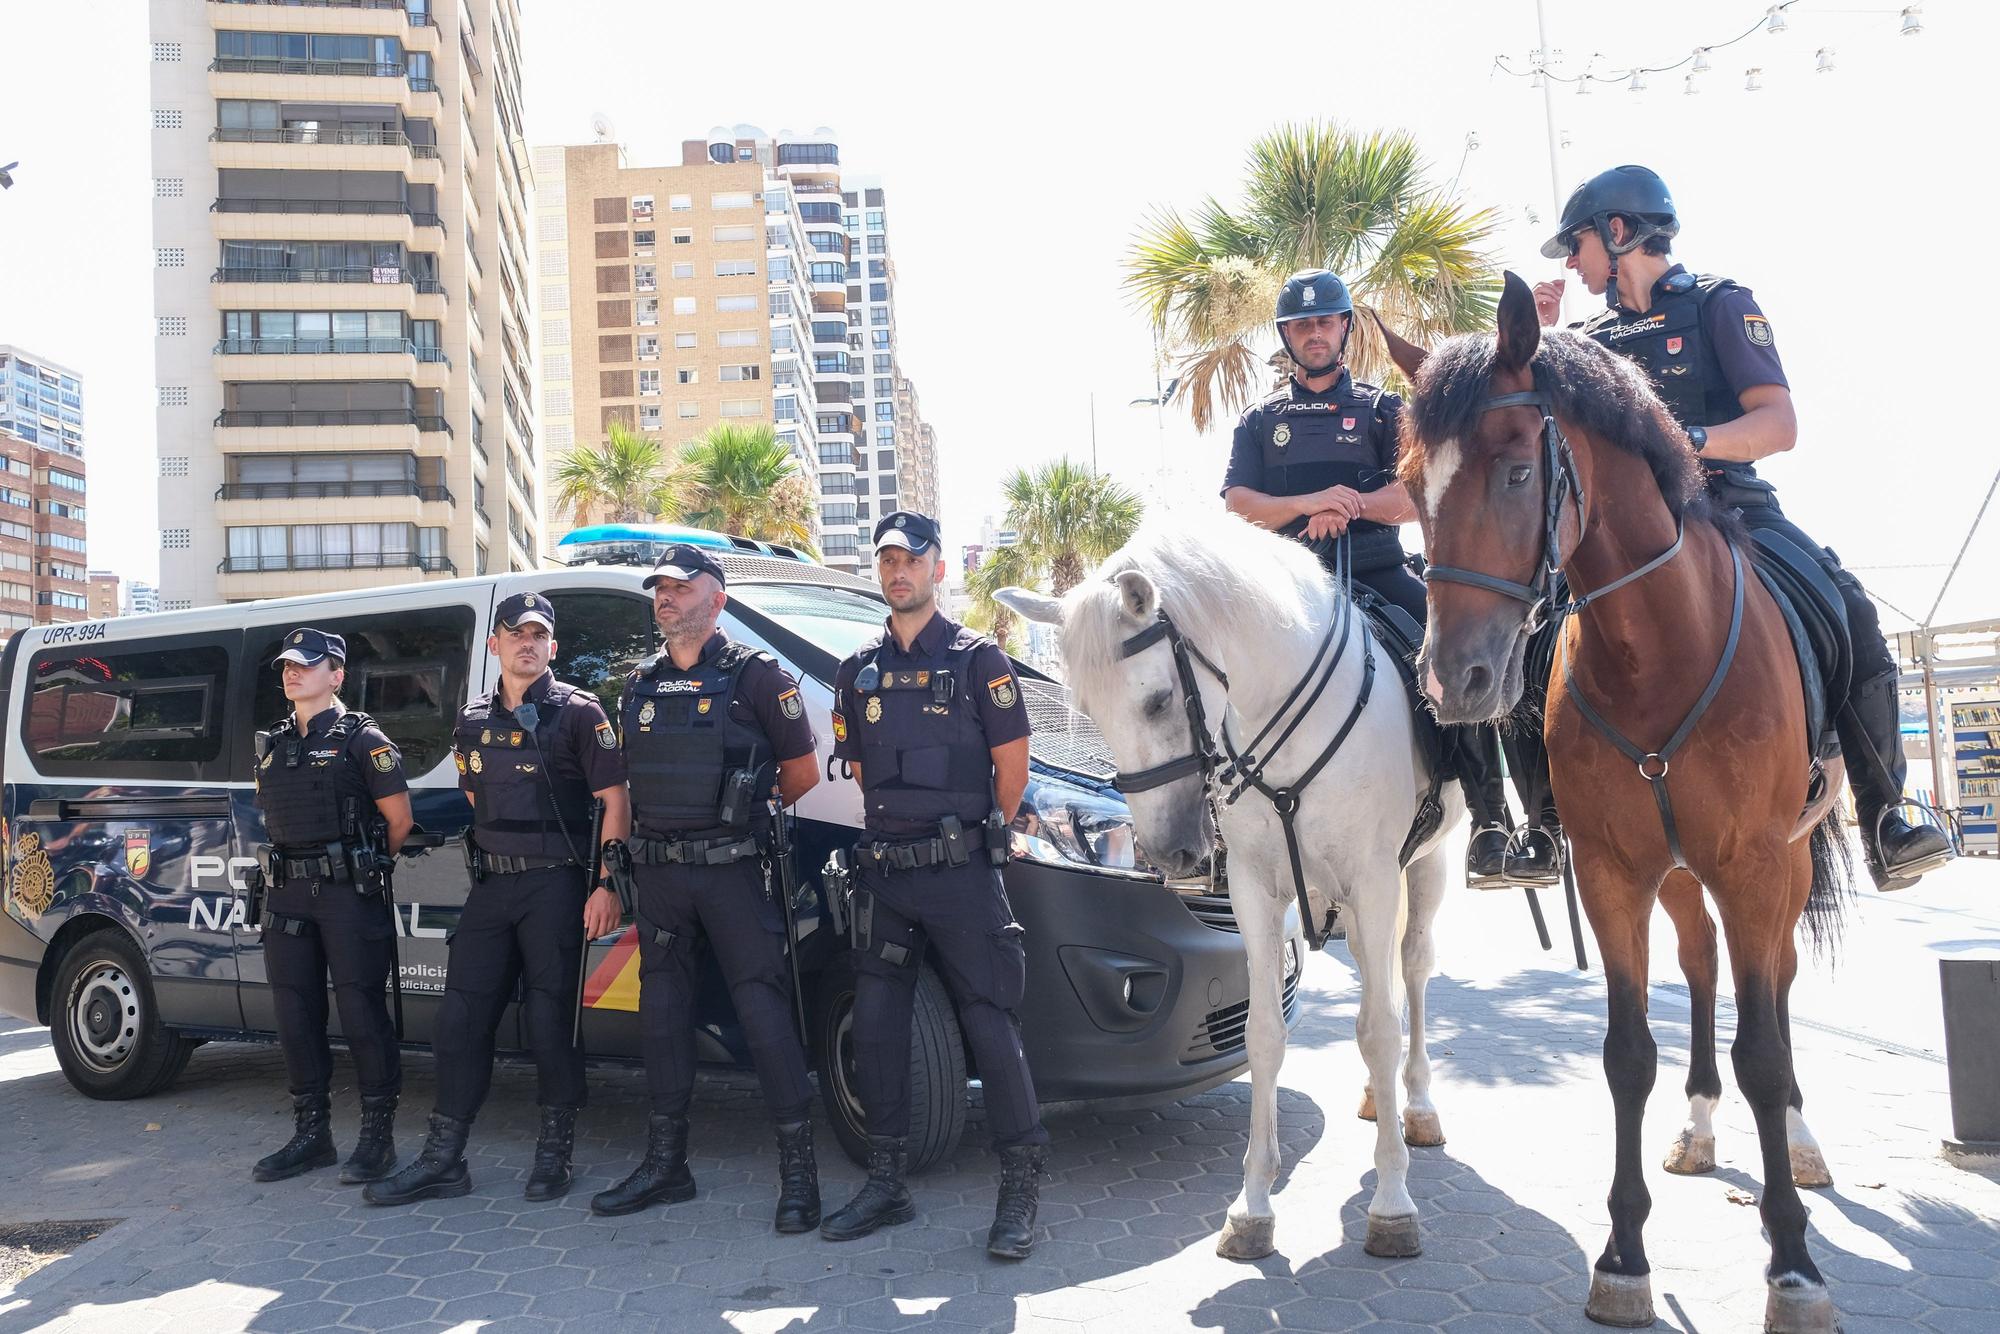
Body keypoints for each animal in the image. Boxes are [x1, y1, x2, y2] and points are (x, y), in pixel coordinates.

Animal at [1008, 516, 1464, 1264]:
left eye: (1158, 700)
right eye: (1089, 712)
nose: (1168, 851)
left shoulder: (1371, 879)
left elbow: (1378, 1029)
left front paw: (1393, 1201)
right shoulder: (1256, 891)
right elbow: (1264, 1036)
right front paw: (1252, 1205)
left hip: (1426, 864)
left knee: (1414, 974)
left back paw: (1417, 1105)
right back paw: (1382, 1097)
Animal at [1392, 274, 1840, 1334]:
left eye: (1519, 472)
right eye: (1413, 486)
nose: (1455, 681)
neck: (1658, 650)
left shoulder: (1757, 865)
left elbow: (1767, 1053)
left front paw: (1793, 1262)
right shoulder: (1612, 871)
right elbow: (1628, 1054)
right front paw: (1626, 1256)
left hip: (1787, 868)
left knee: (1777, 985)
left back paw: (1798, 1146)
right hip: (1679, 878)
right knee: (1706, 963)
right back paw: (1701, 1124)